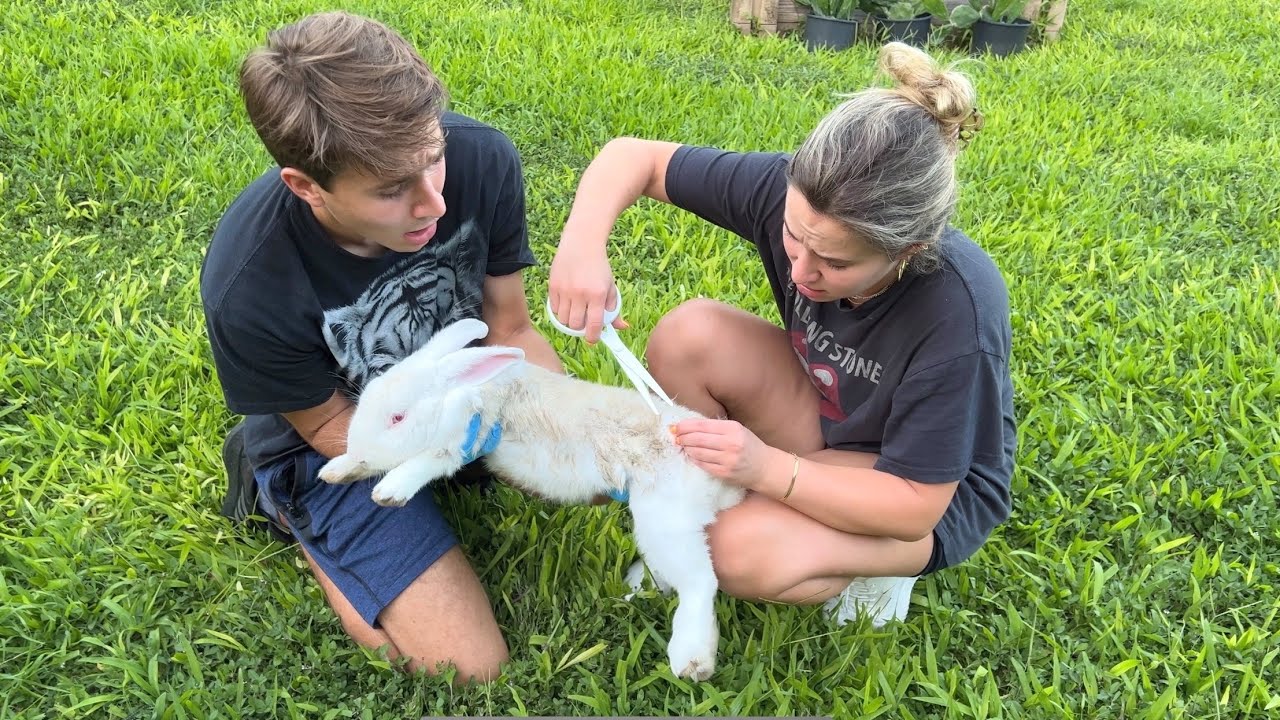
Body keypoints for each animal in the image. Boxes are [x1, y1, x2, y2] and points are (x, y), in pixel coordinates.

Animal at [317, 317, 746, 681]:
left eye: (398, 418)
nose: (358, 447)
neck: (461, 392)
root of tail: (728, 485)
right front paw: (337, 470)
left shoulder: (460, 440)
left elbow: (423, 463)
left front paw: (388, 492)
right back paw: (635, 589)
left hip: (666, 519)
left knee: (700, 583)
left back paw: (691, 662)